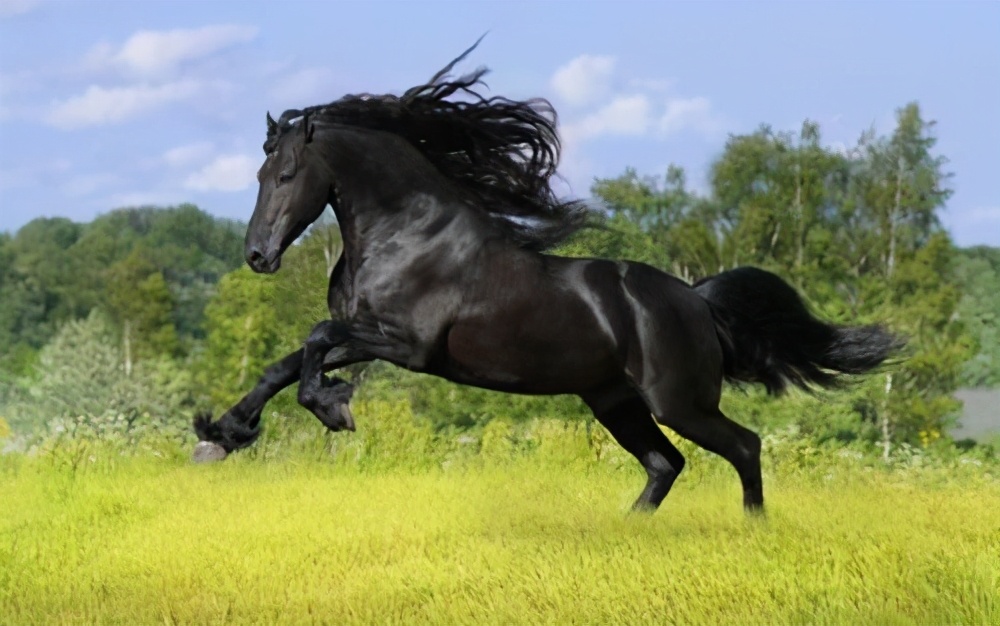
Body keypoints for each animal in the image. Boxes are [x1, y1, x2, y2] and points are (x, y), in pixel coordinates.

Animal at [194, 45, 900, 513]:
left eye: (287, 175)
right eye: (259, 174)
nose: (257, 255)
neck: (406, 233)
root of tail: (697, 301)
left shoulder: (406, 345)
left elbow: (314, 341)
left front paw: (333, 408)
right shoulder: (366, 333)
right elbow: (283, 364)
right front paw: (220, 436)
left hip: (678, 401)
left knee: (743, 447)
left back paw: (752, 531)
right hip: (616, 402)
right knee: (665, 463)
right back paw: (628, 531)